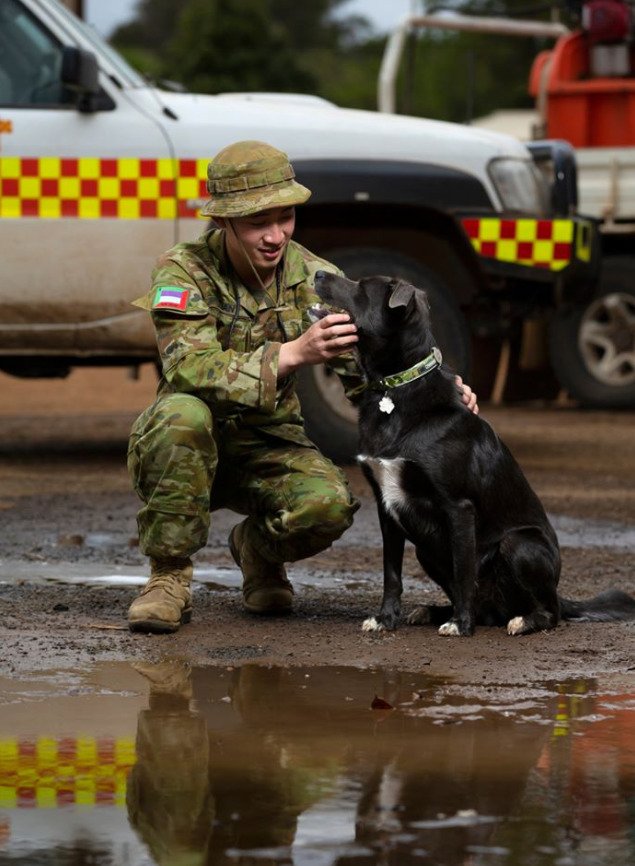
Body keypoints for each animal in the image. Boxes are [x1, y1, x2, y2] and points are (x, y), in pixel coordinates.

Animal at [314, 270, 635, 636]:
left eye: (362, 287)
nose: (318, 272)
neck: (394, 389)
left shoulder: (459, 506)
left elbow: (464, 571)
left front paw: (460, 624)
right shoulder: (386, 509)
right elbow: (391, 573)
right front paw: (385, 618)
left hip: (520, 544)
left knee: (550, 612)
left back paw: (521, 620)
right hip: (425, 551)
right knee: (483, 606)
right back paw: (432, 611)